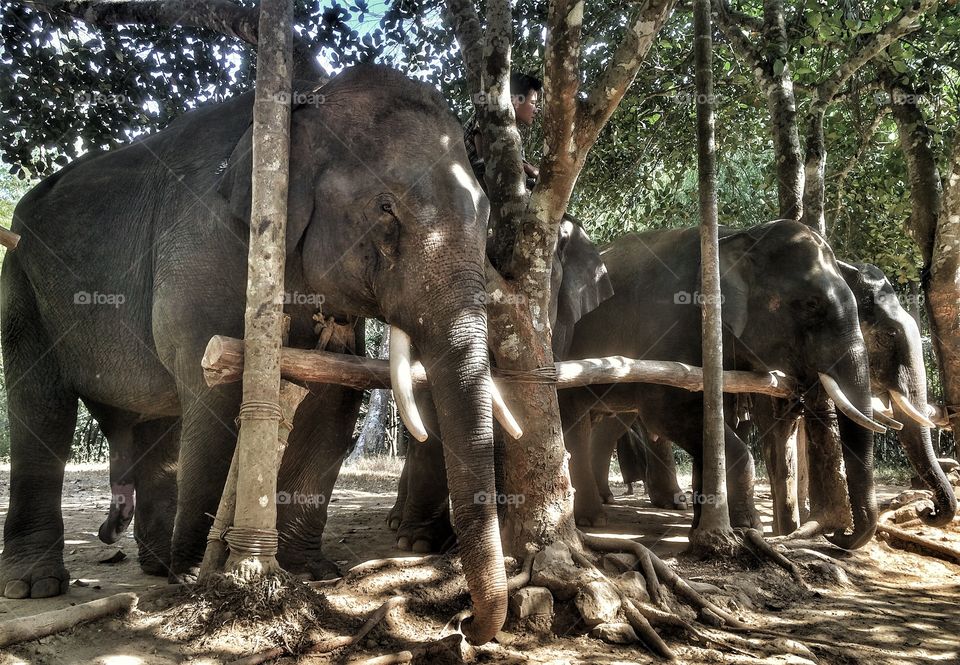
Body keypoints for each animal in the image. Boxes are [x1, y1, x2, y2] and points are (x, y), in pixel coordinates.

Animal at [1, 63, 510, 644]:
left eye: (487, 213)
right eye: (386, 208)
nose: (466, 625)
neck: (300, 105)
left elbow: (333, 401)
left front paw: (308, 571)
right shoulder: (201, 251)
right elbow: (218, 394)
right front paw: (200, 576)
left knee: (158, 425)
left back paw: (155, 564)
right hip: (21, 282)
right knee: (41, 409)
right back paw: (36, 586)